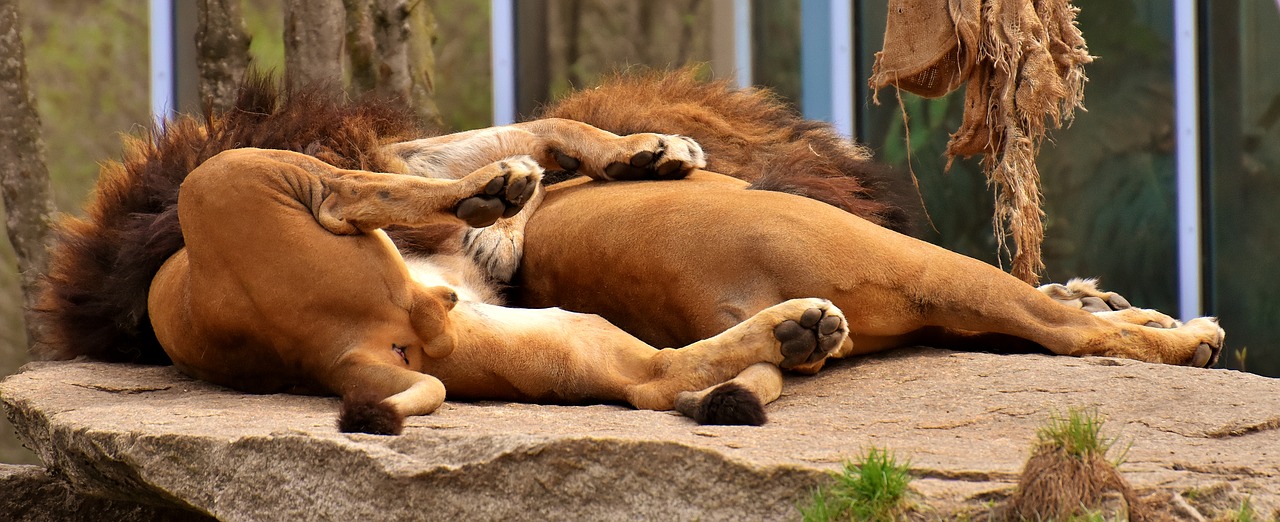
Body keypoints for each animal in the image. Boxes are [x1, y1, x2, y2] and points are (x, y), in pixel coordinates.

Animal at [37, 72, 1218, 432]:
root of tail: (340, 351)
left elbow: (543, 129)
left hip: (541, 342)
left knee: (651, 375)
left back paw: (792, 329)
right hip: (233, 177)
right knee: (348, 190)